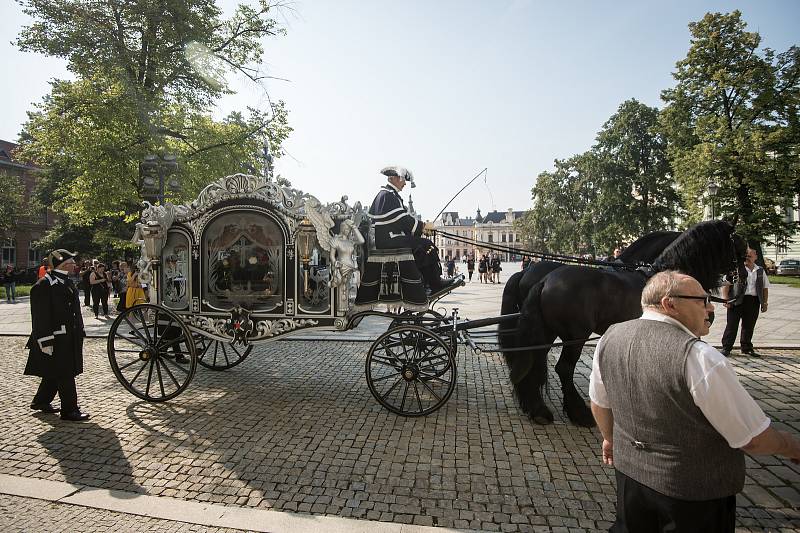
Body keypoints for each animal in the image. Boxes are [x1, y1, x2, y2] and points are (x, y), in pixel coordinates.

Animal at [500, 220, 744, 428]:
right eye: (740, 246)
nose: (739, 284)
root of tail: (544, 280)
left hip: (547, 330)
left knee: (535, 360)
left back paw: (537, 409)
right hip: (575, 336)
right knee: (563, 368)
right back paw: (579, 413)